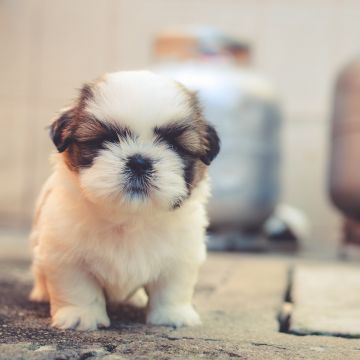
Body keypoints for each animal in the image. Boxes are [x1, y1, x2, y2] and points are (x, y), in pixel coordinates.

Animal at [28, 71, 219, 332]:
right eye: (105, 140)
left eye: (173, 145)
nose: (139, 161)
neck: (130, 219)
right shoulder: (64, 254)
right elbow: (78, 288)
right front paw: (81, 315)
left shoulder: (182, 255)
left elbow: (173, 288)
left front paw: (173, 315)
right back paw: (40, 293)